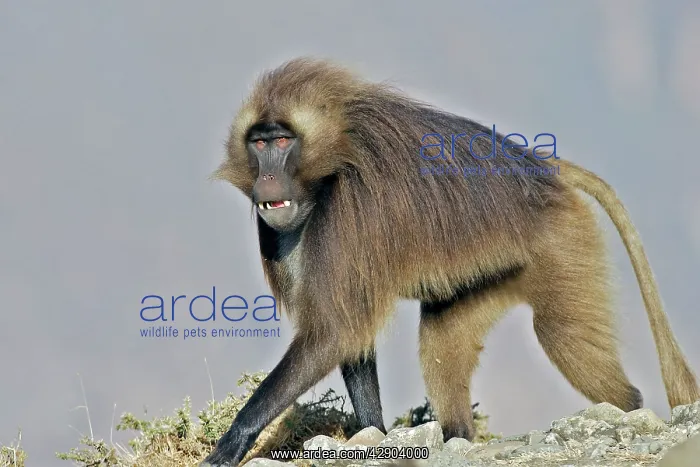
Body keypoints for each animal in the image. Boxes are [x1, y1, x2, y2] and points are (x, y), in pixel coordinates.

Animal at [200, 58, 699, 466]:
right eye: (258, 143)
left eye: (283, 140)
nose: (267, 179)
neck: (329, 166)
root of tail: (541, 169)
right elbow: (350, 336)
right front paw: (374, 434)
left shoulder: (351, 216)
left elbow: (336, 330)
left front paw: (232, 443)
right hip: (489, 273)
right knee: (441, 337)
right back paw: (458, 435)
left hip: (562, 243)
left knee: (564, 335)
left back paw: (629, 411)